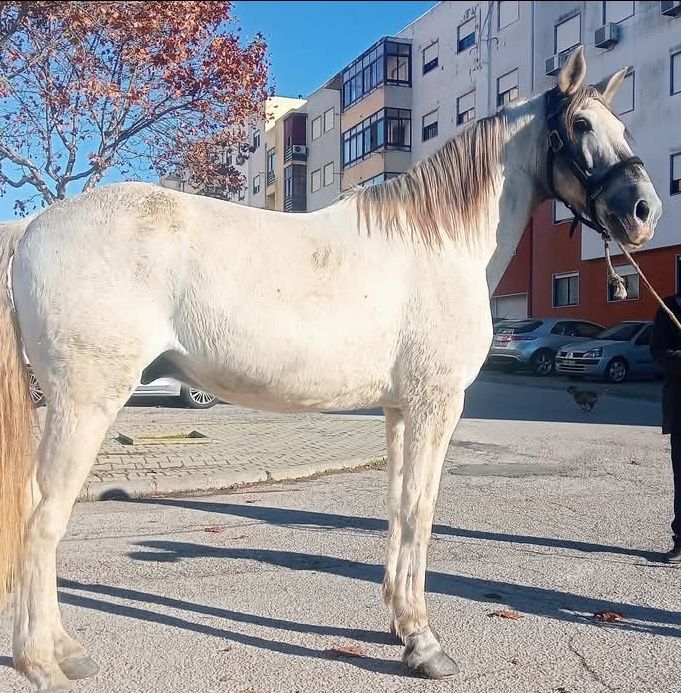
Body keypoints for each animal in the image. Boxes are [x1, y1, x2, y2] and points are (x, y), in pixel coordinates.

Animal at [0, 47, 662, 690]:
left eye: (623, 126)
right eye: (581, 125)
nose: (643, 210)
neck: (439, 242)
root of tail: (32, 226)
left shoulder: (399, 409)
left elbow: (396, 507)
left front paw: (400, 626)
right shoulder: (436, 406)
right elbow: (421, 511)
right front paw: (425, 645)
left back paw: (66, 651)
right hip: (85, 403)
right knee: (42, 521)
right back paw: (42, 664)